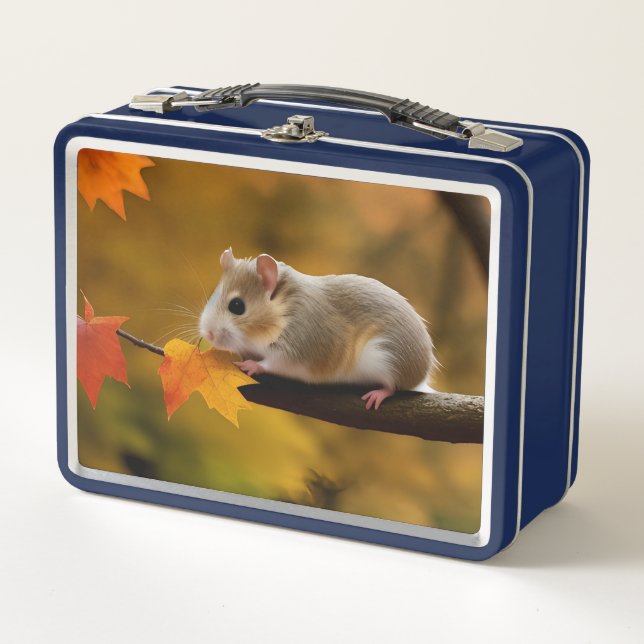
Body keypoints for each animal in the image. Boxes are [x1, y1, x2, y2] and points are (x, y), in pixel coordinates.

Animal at [199, 248, 436, 410]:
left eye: (237, 306)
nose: (207, 333)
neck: (284, 310)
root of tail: (421, 377)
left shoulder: (298, 348)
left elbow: (273, 362)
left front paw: (251, 365)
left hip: (385, 361)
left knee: (392, 386)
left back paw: (378, 394)